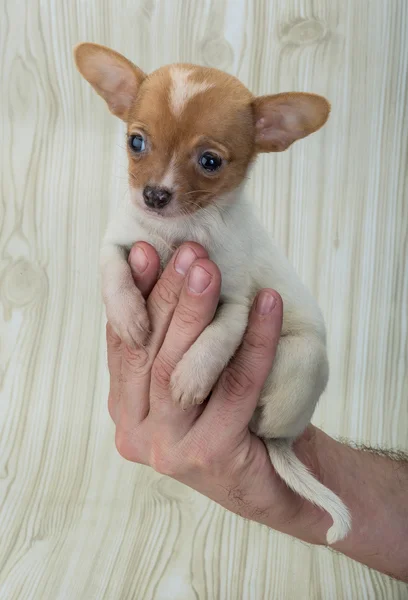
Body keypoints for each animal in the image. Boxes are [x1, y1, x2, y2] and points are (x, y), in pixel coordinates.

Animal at [74, 43, 350, 544]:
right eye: (136, 142)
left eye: (209, 162)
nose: (154, 195)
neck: (179, 230)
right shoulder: (118, 241)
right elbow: (112, 270)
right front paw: (129, 318)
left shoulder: (236, 301)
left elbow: (217, 337)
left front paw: (190, 377)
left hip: (303, 358)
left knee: (270, 428)